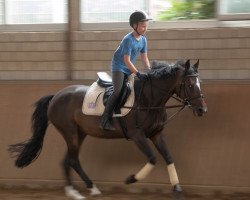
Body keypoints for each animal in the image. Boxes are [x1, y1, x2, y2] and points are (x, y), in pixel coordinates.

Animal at [8, 58, 207, 199]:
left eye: (200, 84)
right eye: (190, 85)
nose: (202, 110)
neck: (149, 99)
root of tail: (56, 96)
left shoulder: (156, 134)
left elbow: (168, 158)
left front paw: (177, 189)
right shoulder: (137, 135)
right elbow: (152, 158)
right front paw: (130, 179)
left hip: (79, 134)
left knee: (69, 161)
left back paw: (81, 190)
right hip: (70, 133)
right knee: (72, 160)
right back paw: (81, 191)